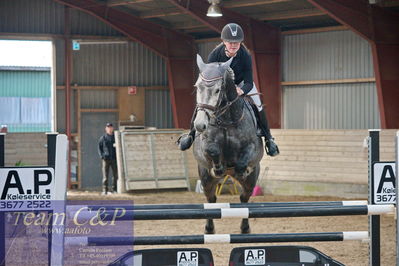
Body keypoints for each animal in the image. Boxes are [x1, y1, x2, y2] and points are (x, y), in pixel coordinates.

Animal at [193, 55, 264, 234]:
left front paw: (240, 169)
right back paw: (209, 228)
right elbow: (212, 149)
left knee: (244, 198)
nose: (200, 125)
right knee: (211, 199)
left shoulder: (252, 148)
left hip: (251, 180)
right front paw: (219, 168)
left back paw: (245, 228)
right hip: (205, 179)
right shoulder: (206, 146)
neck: (226, 120)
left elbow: (244, 159)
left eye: (218, 90)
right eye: (197, 87)